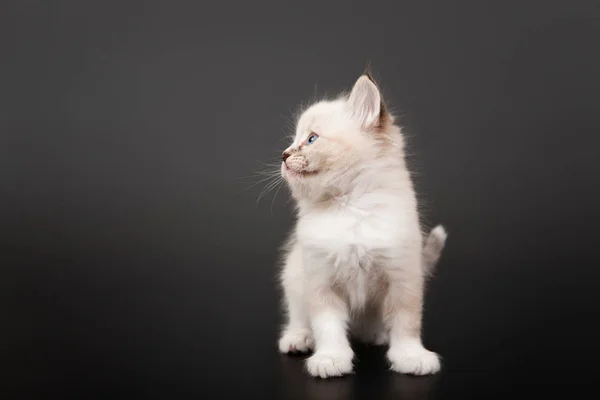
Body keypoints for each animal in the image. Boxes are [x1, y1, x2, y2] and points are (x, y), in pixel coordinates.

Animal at [276, 72, 446, 378]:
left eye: (311, 139)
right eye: (294, 140)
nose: (283, 155)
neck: (349, 208)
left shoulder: (403, 276)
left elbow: (406, 323)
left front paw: (411, 357)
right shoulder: (320, 280)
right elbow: (327, 326)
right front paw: (330, 359)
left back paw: (375, 335)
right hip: (293, 276)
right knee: (298, 317)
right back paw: (298, 339)